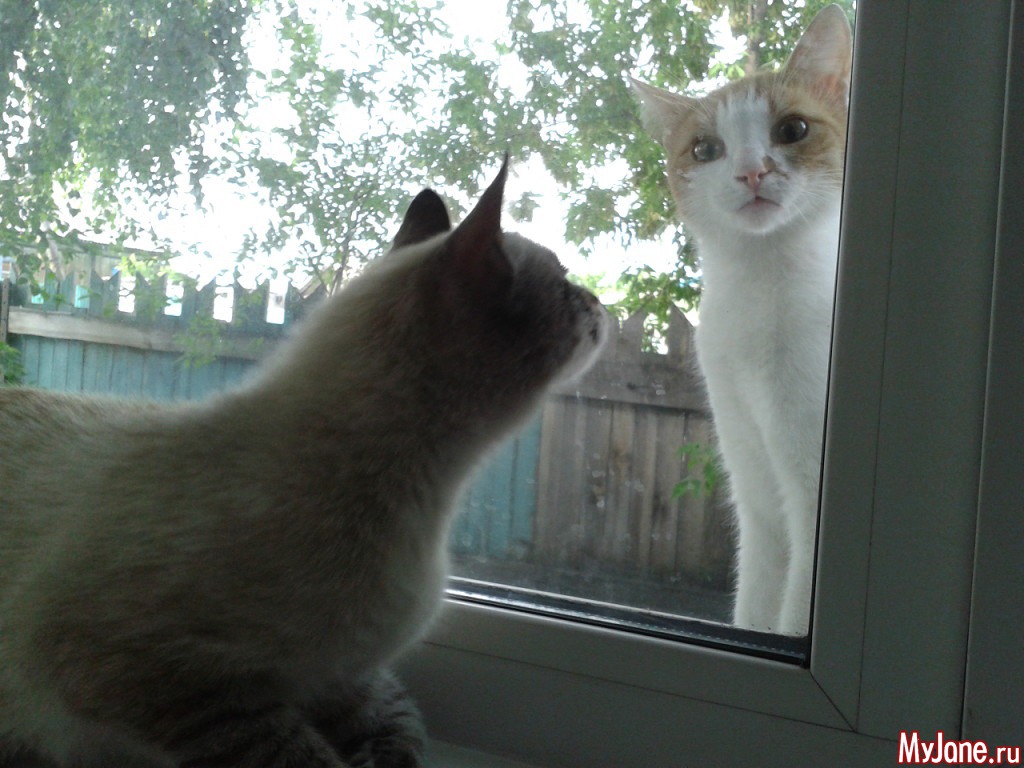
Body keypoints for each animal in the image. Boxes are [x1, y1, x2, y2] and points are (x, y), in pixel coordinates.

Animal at [0, 156, 608, 767]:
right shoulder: (170, 678)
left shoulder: (345, 678)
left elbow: (399, 733)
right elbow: (300, 754)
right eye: (567, 287)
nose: (602, 301)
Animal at [632, 5, 851, 635]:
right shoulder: (759, 504)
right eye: (706, 150)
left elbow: (792, 619)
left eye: (793, 130)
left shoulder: (811, 508)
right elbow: (753, 606)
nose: (751, 172)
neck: (759, 293)